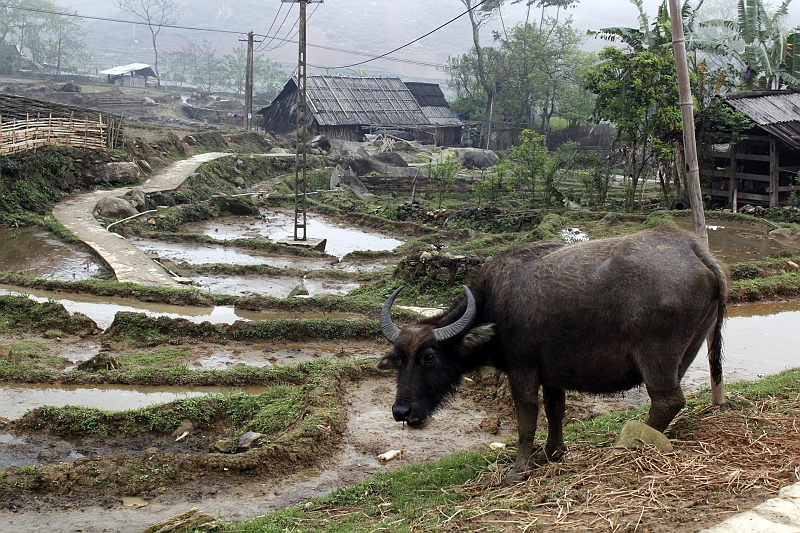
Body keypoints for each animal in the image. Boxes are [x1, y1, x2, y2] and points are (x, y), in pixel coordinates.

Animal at [378, 224, 728, 482]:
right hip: (687, 352)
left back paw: (626, 444)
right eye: (398, 359)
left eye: (429, 357)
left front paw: (518, 470)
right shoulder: (553, 376)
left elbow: (526, 419)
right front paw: (551, 453)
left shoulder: (522, 372)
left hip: (658, 358)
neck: (493, 305)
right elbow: (555, 411)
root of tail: (695, 251)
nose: (402, 411)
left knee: (668, 401)